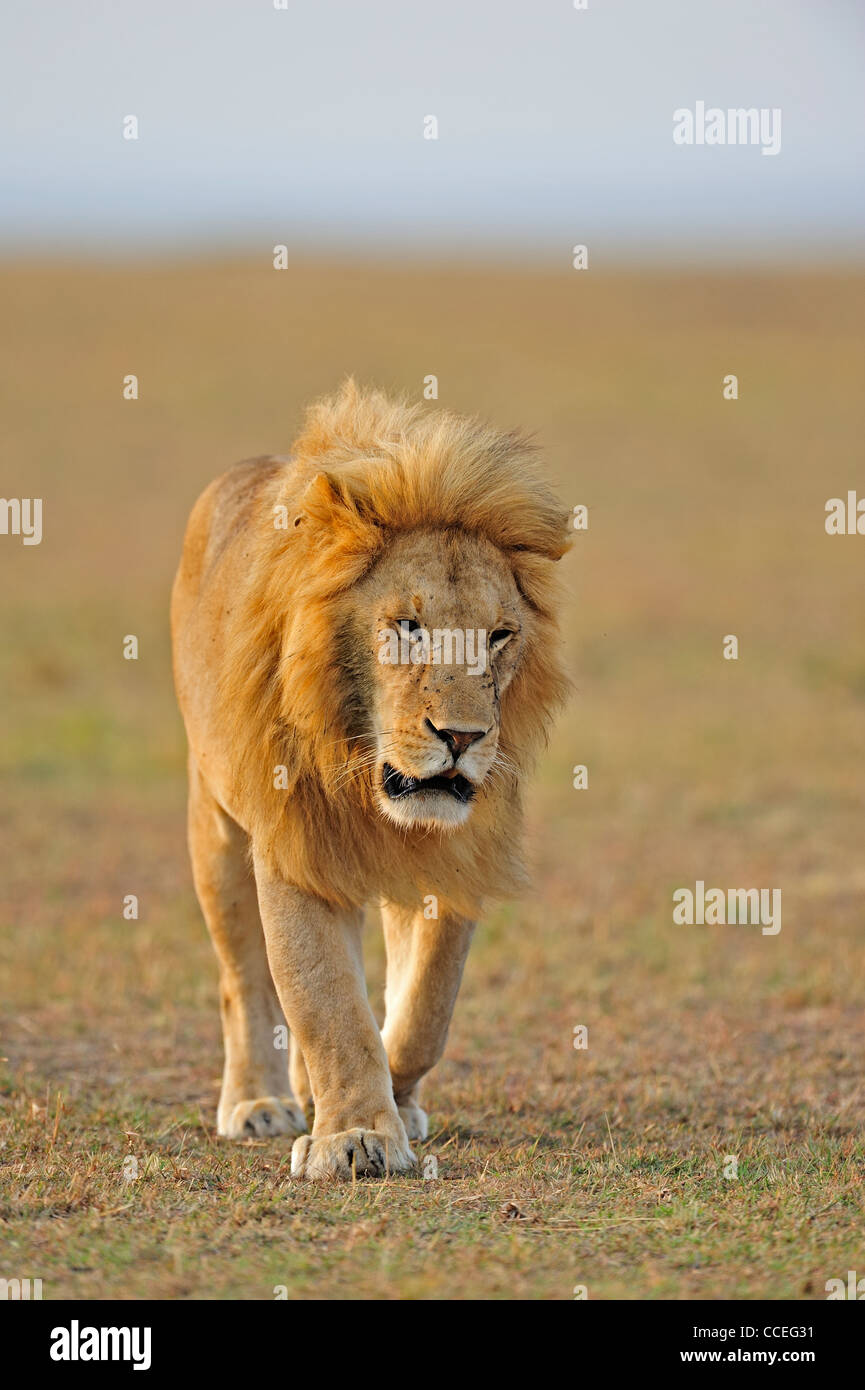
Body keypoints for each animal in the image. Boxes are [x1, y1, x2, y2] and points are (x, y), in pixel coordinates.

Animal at [170, 381, 570, 1179]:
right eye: (407, 628)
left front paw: (392, 1100)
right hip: (216, 823)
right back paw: (259, 1101)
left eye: (499, 635)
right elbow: (324, 1000)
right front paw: (355, 1136)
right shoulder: (293, 842)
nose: (461, 738)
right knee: (242, 980)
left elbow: (423, 1007)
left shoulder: (447, 858)